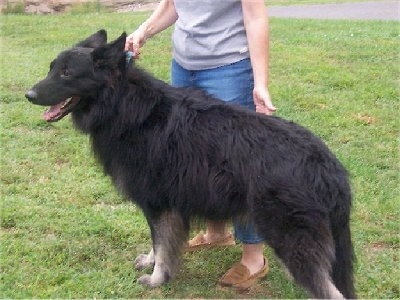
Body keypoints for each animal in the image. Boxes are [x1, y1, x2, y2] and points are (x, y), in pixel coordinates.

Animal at [25, 29, 356, 298]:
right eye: (52, 68)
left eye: (67, 73)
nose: (28, 94)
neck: (122, 105)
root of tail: (328, 164)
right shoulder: (161, 207)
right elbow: (157, 242)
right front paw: (150, 262)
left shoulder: (158, 204)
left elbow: (162, 244)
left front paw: (157, 278)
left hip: (291, 238)